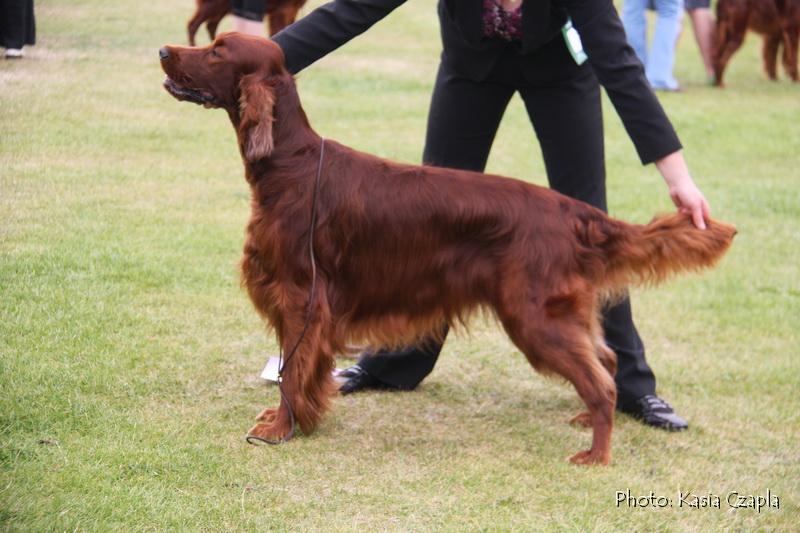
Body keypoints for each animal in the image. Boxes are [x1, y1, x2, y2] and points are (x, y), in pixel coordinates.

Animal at [158, 34, 736, 466]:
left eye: (217, 51)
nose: (164, 51)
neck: (291, 163)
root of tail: (570, 210)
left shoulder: (301, 296)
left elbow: (293, 371)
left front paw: (281, 428)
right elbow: (299, 371)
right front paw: (300, 419)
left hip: (533, 315)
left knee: (603, 380)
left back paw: (595, 453)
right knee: (606, 357)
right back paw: (582, 418)